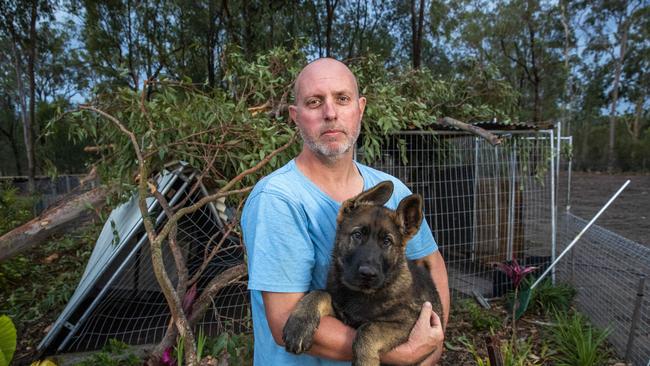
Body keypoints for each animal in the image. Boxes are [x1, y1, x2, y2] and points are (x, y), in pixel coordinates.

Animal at [280, 181, 440, 366]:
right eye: (357, 235)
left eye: (387, 241)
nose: (368, 274)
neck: (361, 294)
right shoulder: (341, 313)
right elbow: (319, 294)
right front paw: (299, 325)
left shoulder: (407, 322)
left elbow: (368, 329)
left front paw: (365, 360)